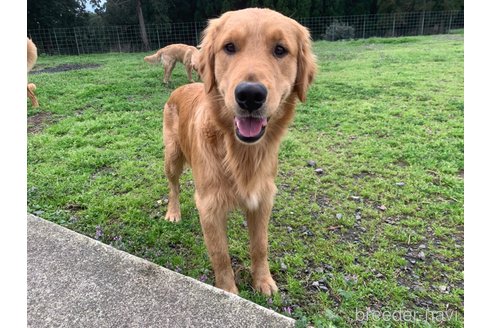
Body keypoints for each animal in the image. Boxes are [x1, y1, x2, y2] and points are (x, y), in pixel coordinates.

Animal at [161, 8, 316, 294]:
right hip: (172, 157)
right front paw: (228, 291)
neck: (240, 151)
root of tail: (182, 86)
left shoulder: (262, 199)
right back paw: (173, 213)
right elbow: (220, 254)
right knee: (173, 187)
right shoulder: (209, 206)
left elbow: (260, 246)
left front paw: (264, 281)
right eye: (229, 47)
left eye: (280, 50)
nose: (250, 95)